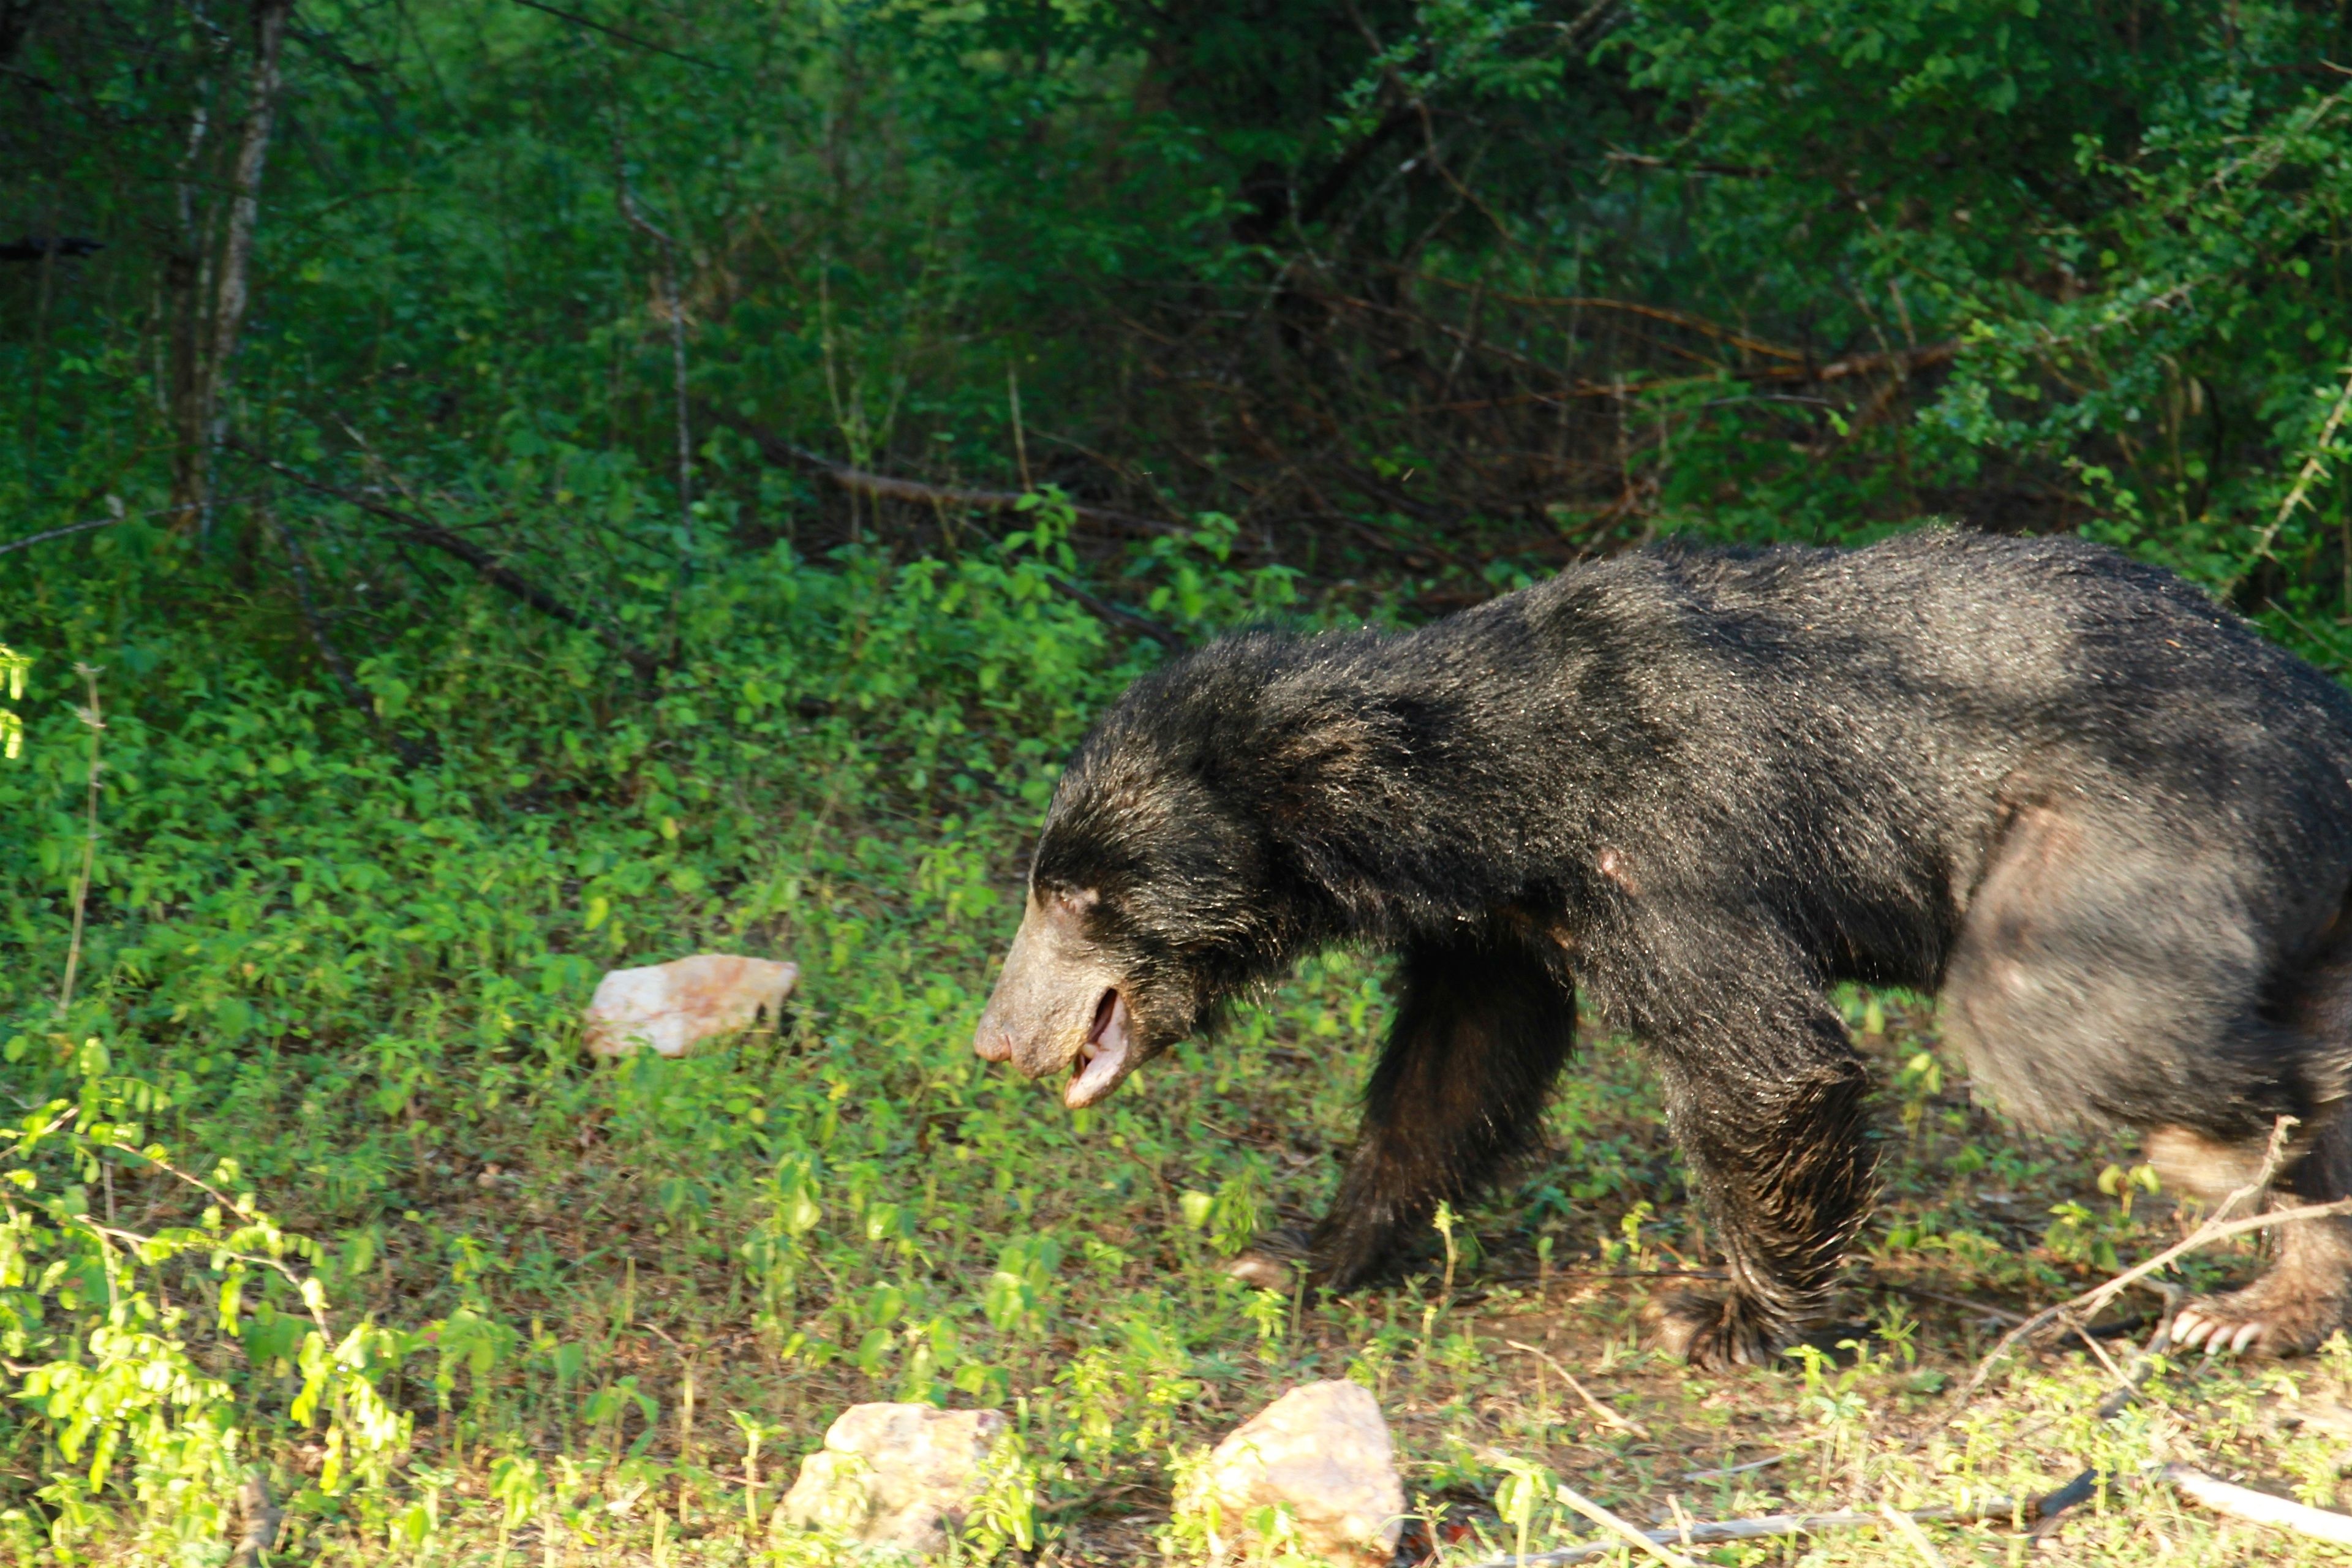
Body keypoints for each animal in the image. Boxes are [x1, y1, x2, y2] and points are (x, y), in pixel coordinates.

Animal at [971, 527, 2352, 1367]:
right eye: (1047, 885)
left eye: (1081, 899)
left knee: (2046, 1015)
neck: (1477, 797)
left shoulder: (1669, 850)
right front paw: (1300, 1256)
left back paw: (2228, 1182)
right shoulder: (1507, 921)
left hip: (2127, 827)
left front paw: (1728, 1317)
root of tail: (2323, 717)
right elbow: (1453, 1068)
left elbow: (1762, 1060)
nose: (996, 1042)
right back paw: (2264, 1298)